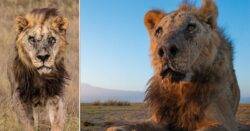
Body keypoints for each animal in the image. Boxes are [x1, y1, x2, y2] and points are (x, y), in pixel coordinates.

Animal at [107, 0, 240, 131]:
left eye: (191, 27)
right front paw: (116, 127)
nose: (165, 50)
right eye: (159, 31)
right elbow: (134, 124)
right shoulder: (159, 119)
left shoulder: (222, 120)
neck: (180, 88)